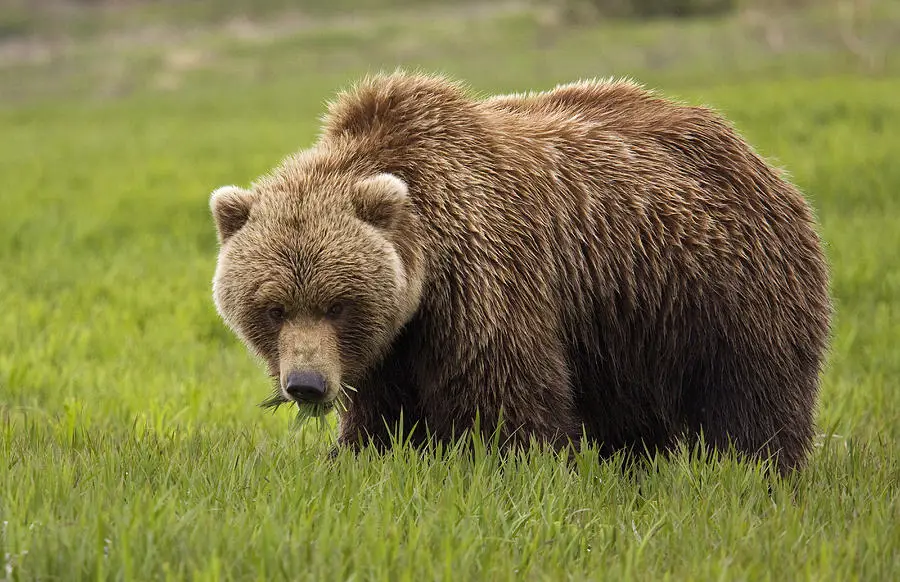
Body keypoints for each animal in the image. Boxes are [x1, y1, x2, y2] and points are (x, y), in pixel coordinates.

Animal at [209, 70, 828, 476]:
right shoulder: (391, 344)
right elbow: (382, 418)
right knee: (633, 414)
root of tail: (756, 158)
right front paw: (353, 460)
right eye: (273, 307)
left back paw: (757, 473)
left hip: (724, 287)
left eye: (338, 303)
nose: (306, 385)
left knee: (752, 399)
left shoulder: (484, 278)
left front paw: (513, 469)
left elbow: (507, 399)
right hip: (631, 323)